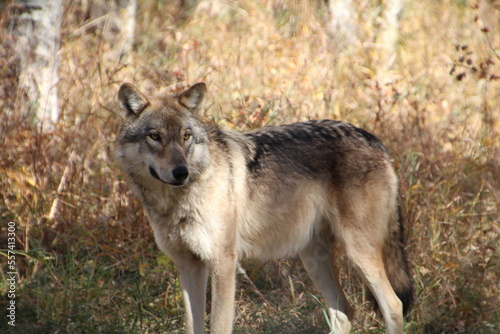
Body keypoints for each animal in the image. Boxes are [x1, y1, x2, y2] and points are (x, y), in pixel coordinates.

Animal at [115, 81, 412, 334]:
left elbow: (219, 326)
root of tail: (373, 139)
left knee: (393, 305)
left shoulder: (223, 263)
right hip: (313, 257)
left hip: (357, 251)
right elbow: (193, 327)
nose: (181, 172)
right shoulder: (188, 266)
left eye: (186, 136)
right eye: (155, 136)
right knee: (344, 311)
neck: (178, 201)